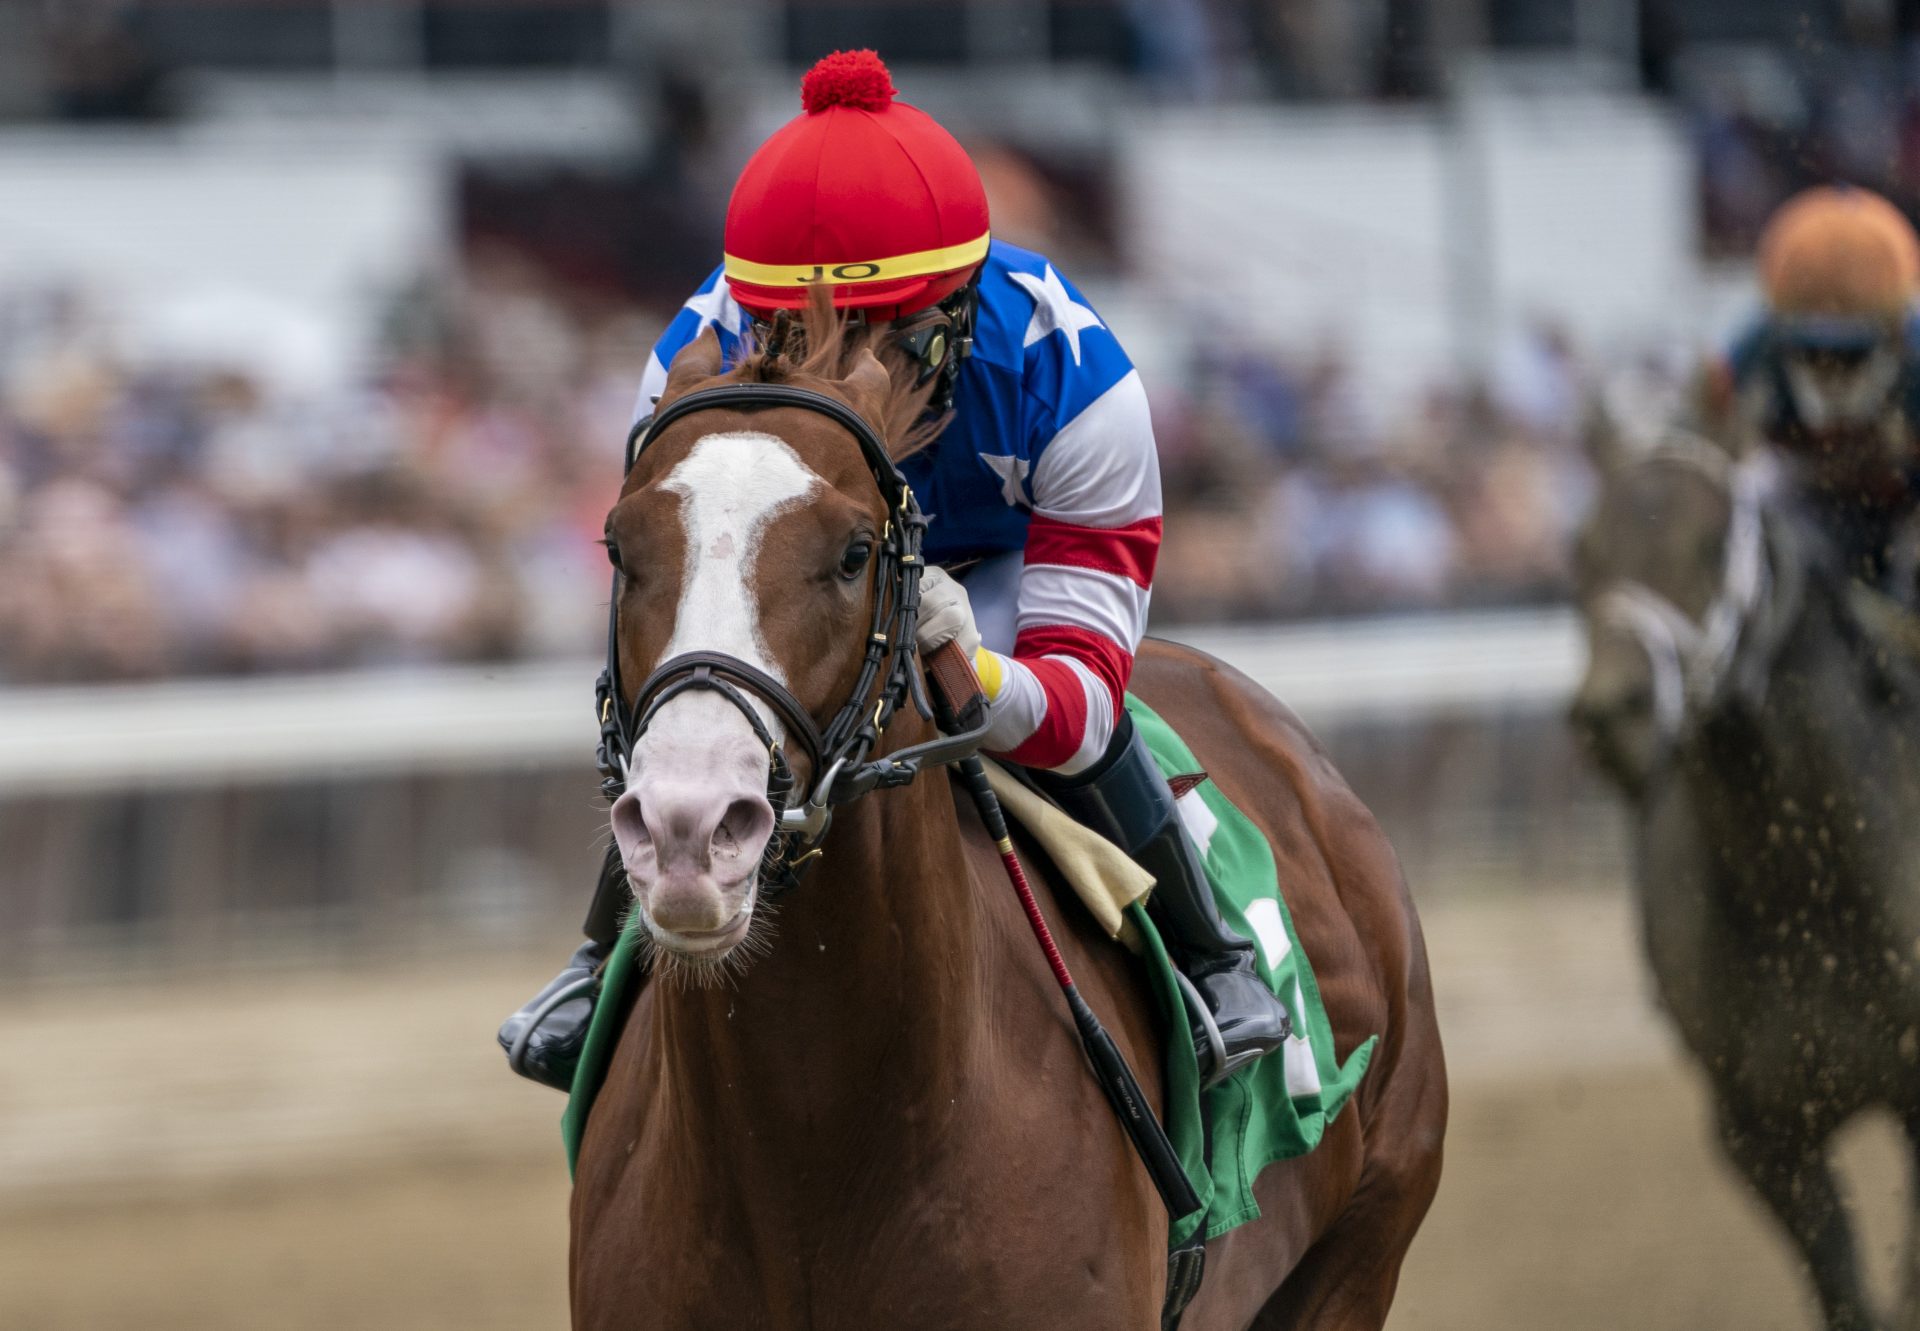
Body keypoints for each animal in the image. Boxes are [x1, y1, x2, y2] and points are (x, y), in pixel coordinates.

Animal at [576, 324, 1443, 1329]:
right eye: (618, 546)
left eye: (853, 552)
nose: (689, 827)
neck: (805, 1138)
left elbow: (1079, 693)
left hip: (1362, 1245)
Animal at [1574, 428, 1920, 1329]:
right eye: (1580, 550)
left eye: (1707, 542)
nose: (1613, 711)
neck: (1805, 891)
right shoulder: (1759, 1134)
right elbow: (1849, 1296)